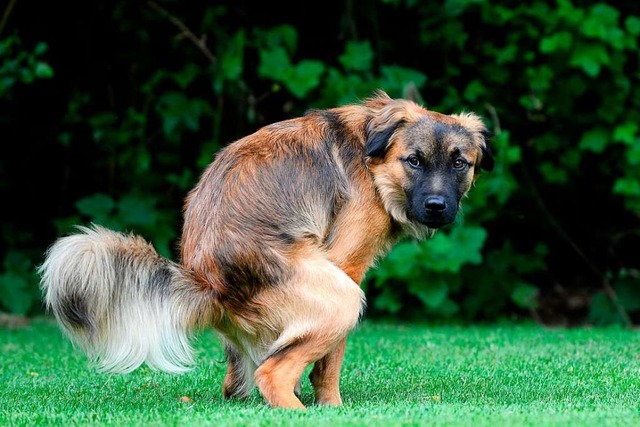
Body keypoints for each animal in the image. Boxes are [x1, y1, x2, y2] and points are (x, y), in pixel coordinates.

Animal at [38, 90, 490, 412]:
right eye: (413, 160)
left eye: (459, 163)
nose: (437, 207)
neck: (372, 159)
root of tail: (207, 282)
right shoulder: (346, 265)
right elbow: (330, 364)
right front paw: (333, 407)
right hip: (342, 297)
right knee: (272, 375)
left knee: (236, 385)